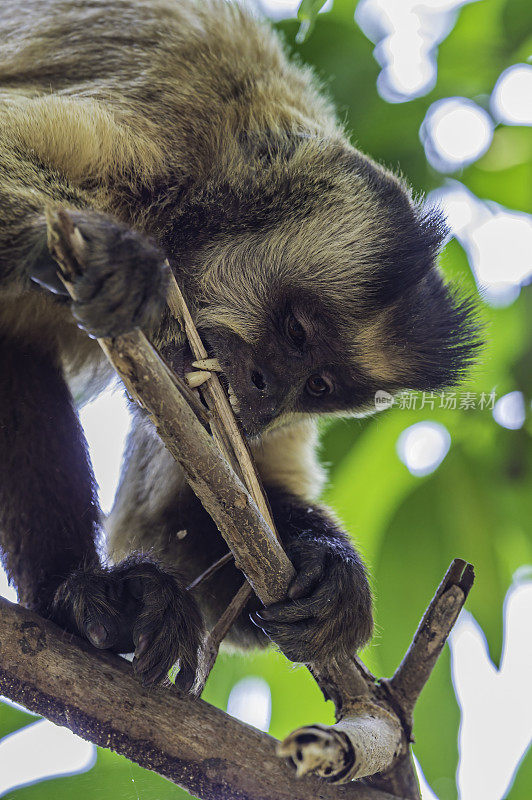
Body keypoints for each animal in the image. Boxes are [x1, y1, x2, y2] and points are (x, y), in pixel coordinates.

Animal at [0, 0, 476, 692]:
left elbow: (175, 517)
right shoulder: (158, 141)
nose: (266, 396)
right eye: (297, 333)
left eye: (318, 387)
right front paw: (93, 252)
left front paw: (331, 575)